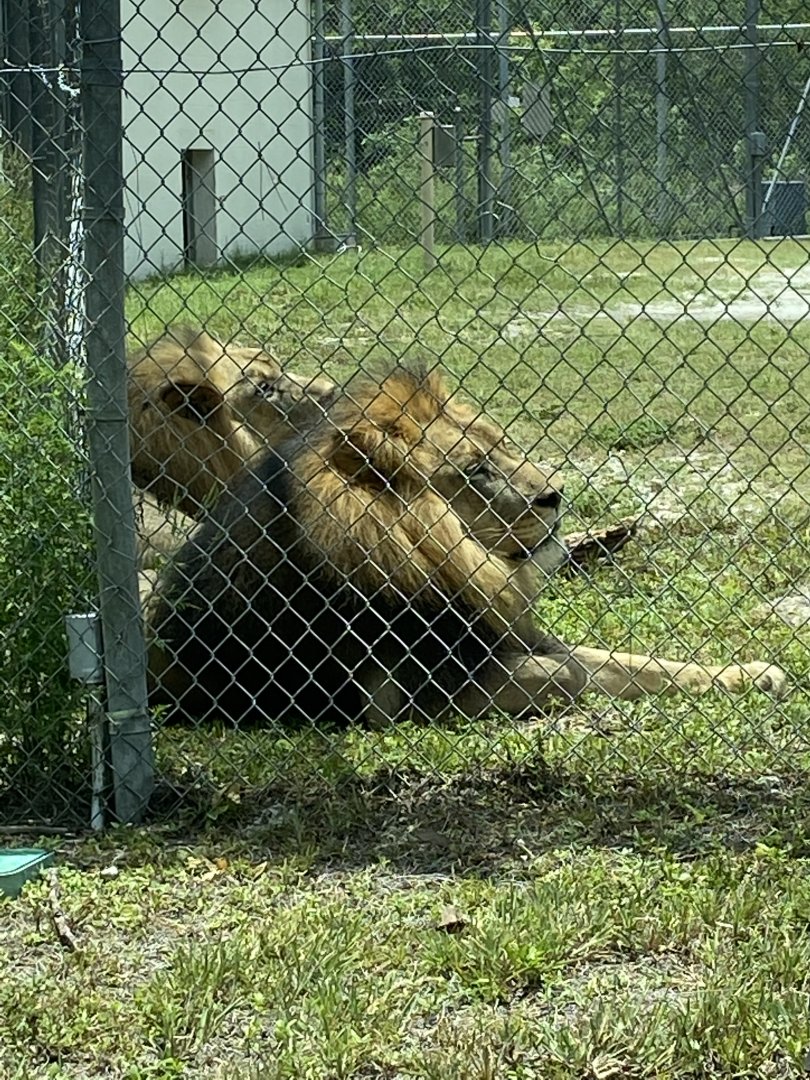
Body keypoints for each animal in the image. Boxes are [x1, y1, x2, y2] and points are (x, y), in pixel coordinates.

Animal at [147, 364, 788, 728]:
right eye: (477, 470)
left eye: (502, 445)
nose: (556, 494)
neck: (448, 557)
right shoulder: (397, 698)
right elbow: (566, 675)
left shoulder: (504, 632)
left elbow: (632, 663)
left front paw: (753, 673)